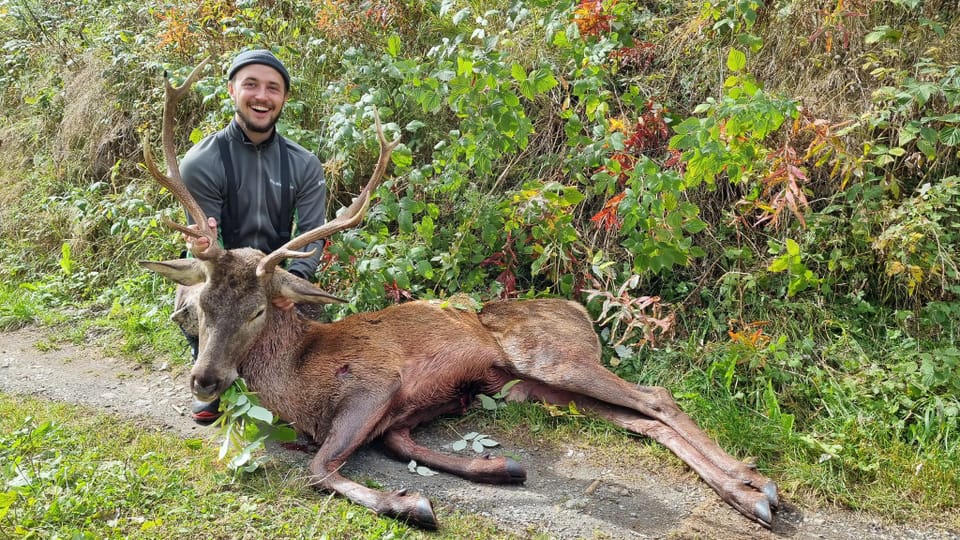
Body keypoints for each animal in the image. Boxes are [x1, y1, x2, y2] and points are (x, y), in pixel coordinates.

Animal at [139, 59, 776, 528]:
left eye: (256, 311)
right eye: (200, 308)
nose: (205, 380)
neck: (297, 385)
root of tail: (577, 306)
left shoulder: (376, 382)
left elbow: (320, 467)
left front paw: (411, 504)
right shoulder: (401, 415)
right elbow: (399, 448)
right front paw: (501, 467)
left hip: (551, 356)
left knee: (658, 397)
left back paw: (760, 488)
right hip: (535, 386)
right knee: (640, 419)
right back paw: (748, 490)